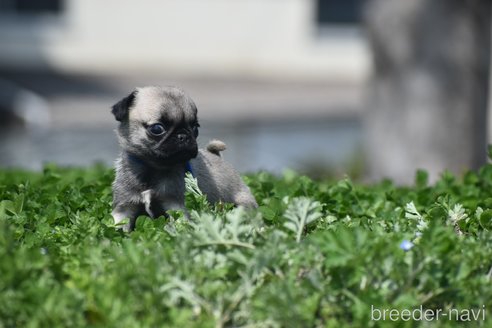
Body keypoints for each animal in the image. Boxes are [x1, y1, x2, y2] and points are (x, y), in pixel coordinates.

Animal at [110, 86, 258, 232]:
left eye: (195, 128)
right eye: (157, 128)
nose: (183, 136)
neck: (152, 168)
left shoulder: (175, 206)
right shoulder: (124, 209)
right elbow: (118, 226)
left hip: (242, 203)